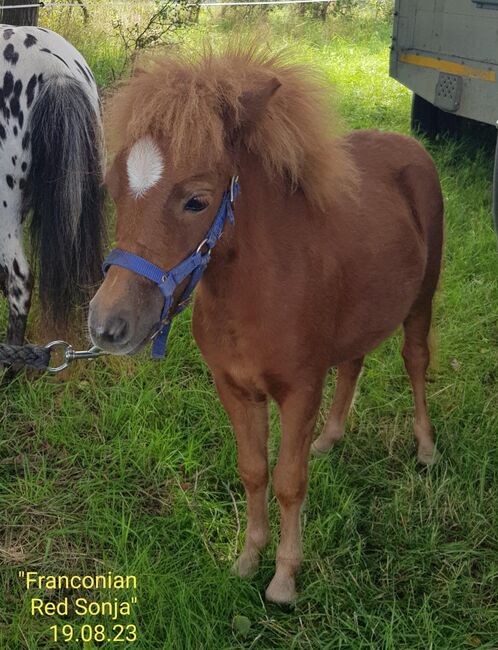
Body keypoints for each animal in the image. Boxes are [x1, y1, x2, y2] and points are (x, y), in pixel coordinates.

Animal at [88, 46, 444, 604]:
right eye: (113, 189)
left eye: (197, 200)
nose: (107, 325)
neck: (256, 295)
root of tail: (412, 146)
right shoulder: (234, 389)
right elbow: (253, 471)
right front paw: (248, 558)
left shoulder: (299, 391)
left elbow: (289, 481)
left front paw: (284, 578)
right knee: (353, 362)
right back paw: (331, 438)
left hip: (421, 300)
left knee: (415, 360)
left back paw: (425, 447)